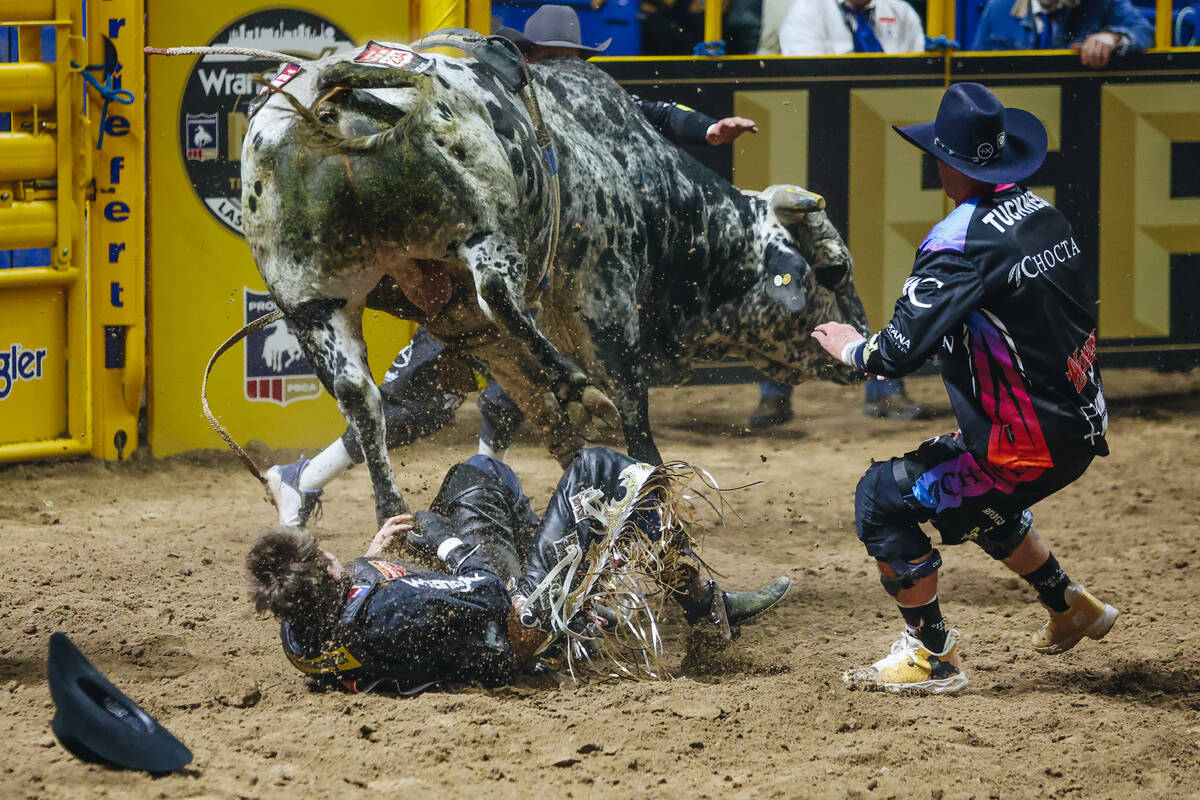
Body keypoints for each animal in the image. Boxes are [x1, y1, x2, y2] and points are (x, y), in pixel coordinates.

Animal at [238, 42, 868, 525]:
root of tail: (331, 93)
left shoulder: (470, 331)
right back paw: (576, 387)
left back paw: (386, 511)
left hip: (314, 302)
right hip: (482, 224)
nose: (860, 344)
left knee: (364, 403)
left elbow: (531, 416)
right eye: (836, 272)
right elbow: (630, 406)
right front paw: (649, 489)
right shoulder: (605, 302)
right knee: (497, 295)